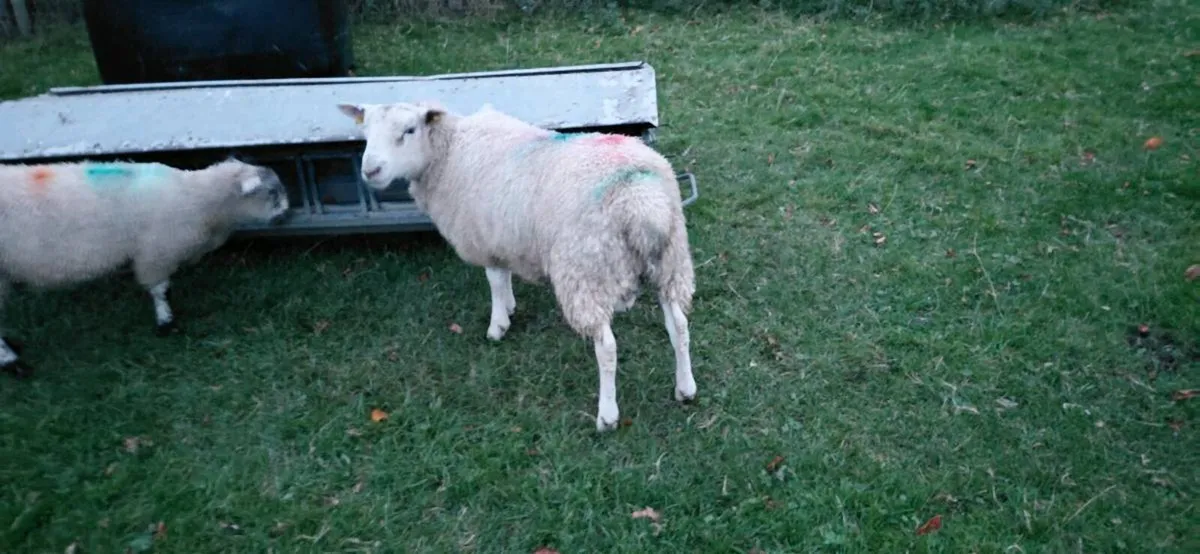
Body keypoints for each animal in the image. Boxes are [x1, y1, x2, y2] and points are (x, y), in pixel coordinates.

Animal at [0, 157, 290, 378]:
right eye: (272, 193)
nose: (287, 213)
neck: (198, 198)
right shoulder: (156, 251)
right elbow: (159, 290)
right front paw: (166, 322)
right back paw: (13, 363)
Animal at [336, 100, 697, 432]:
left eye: (409, 130)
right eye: (365, 132)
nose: (370, 171)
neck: (449, 152)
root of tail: (642, 201)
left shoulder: (486, 238)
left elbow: (495, 281)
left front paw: (498, 325)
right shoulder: (503, 236)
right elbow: (504, 278)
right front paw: (509, 308)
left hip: (585, 270)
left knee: (607, 348)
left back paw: (607, 416)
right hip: (671, 264)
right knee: (678, 326)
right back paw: (686, 389)